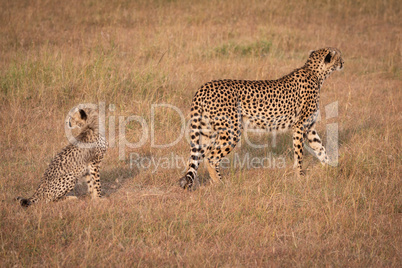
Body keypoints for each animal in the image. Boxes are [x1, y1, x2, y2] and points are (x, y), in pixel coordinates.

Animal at [179, 47, 342, 189]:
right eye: (339, 56)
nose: (343, 63)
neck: (315, 72)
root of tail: (204, 86)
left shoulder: (309, 128)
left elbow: (320, 148)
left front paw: (330, 169)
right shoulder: (300, 126)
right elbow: (300, 152)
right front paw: (300, 175)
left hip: (207, 131)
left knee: (194, 158)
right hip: (231, 131)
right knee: (211, 157)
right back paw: (220, 183)